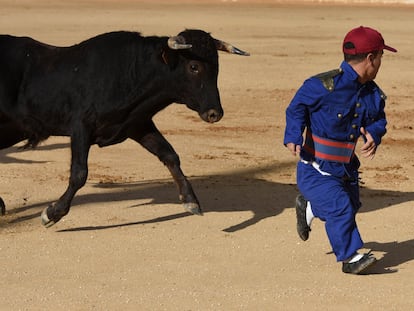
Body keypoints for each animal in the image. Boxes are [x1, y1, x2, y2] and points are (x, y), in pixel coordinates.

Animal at [0, 29, 249, 227]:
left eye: (217, 67)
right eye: (194, 66)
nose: (215, 113)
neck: (132, 71)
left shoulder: (138, 124)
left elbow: (170, 155)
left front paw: (190, 201)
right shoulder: (81, 126)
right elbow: (79, 173)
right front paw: (52, 213)